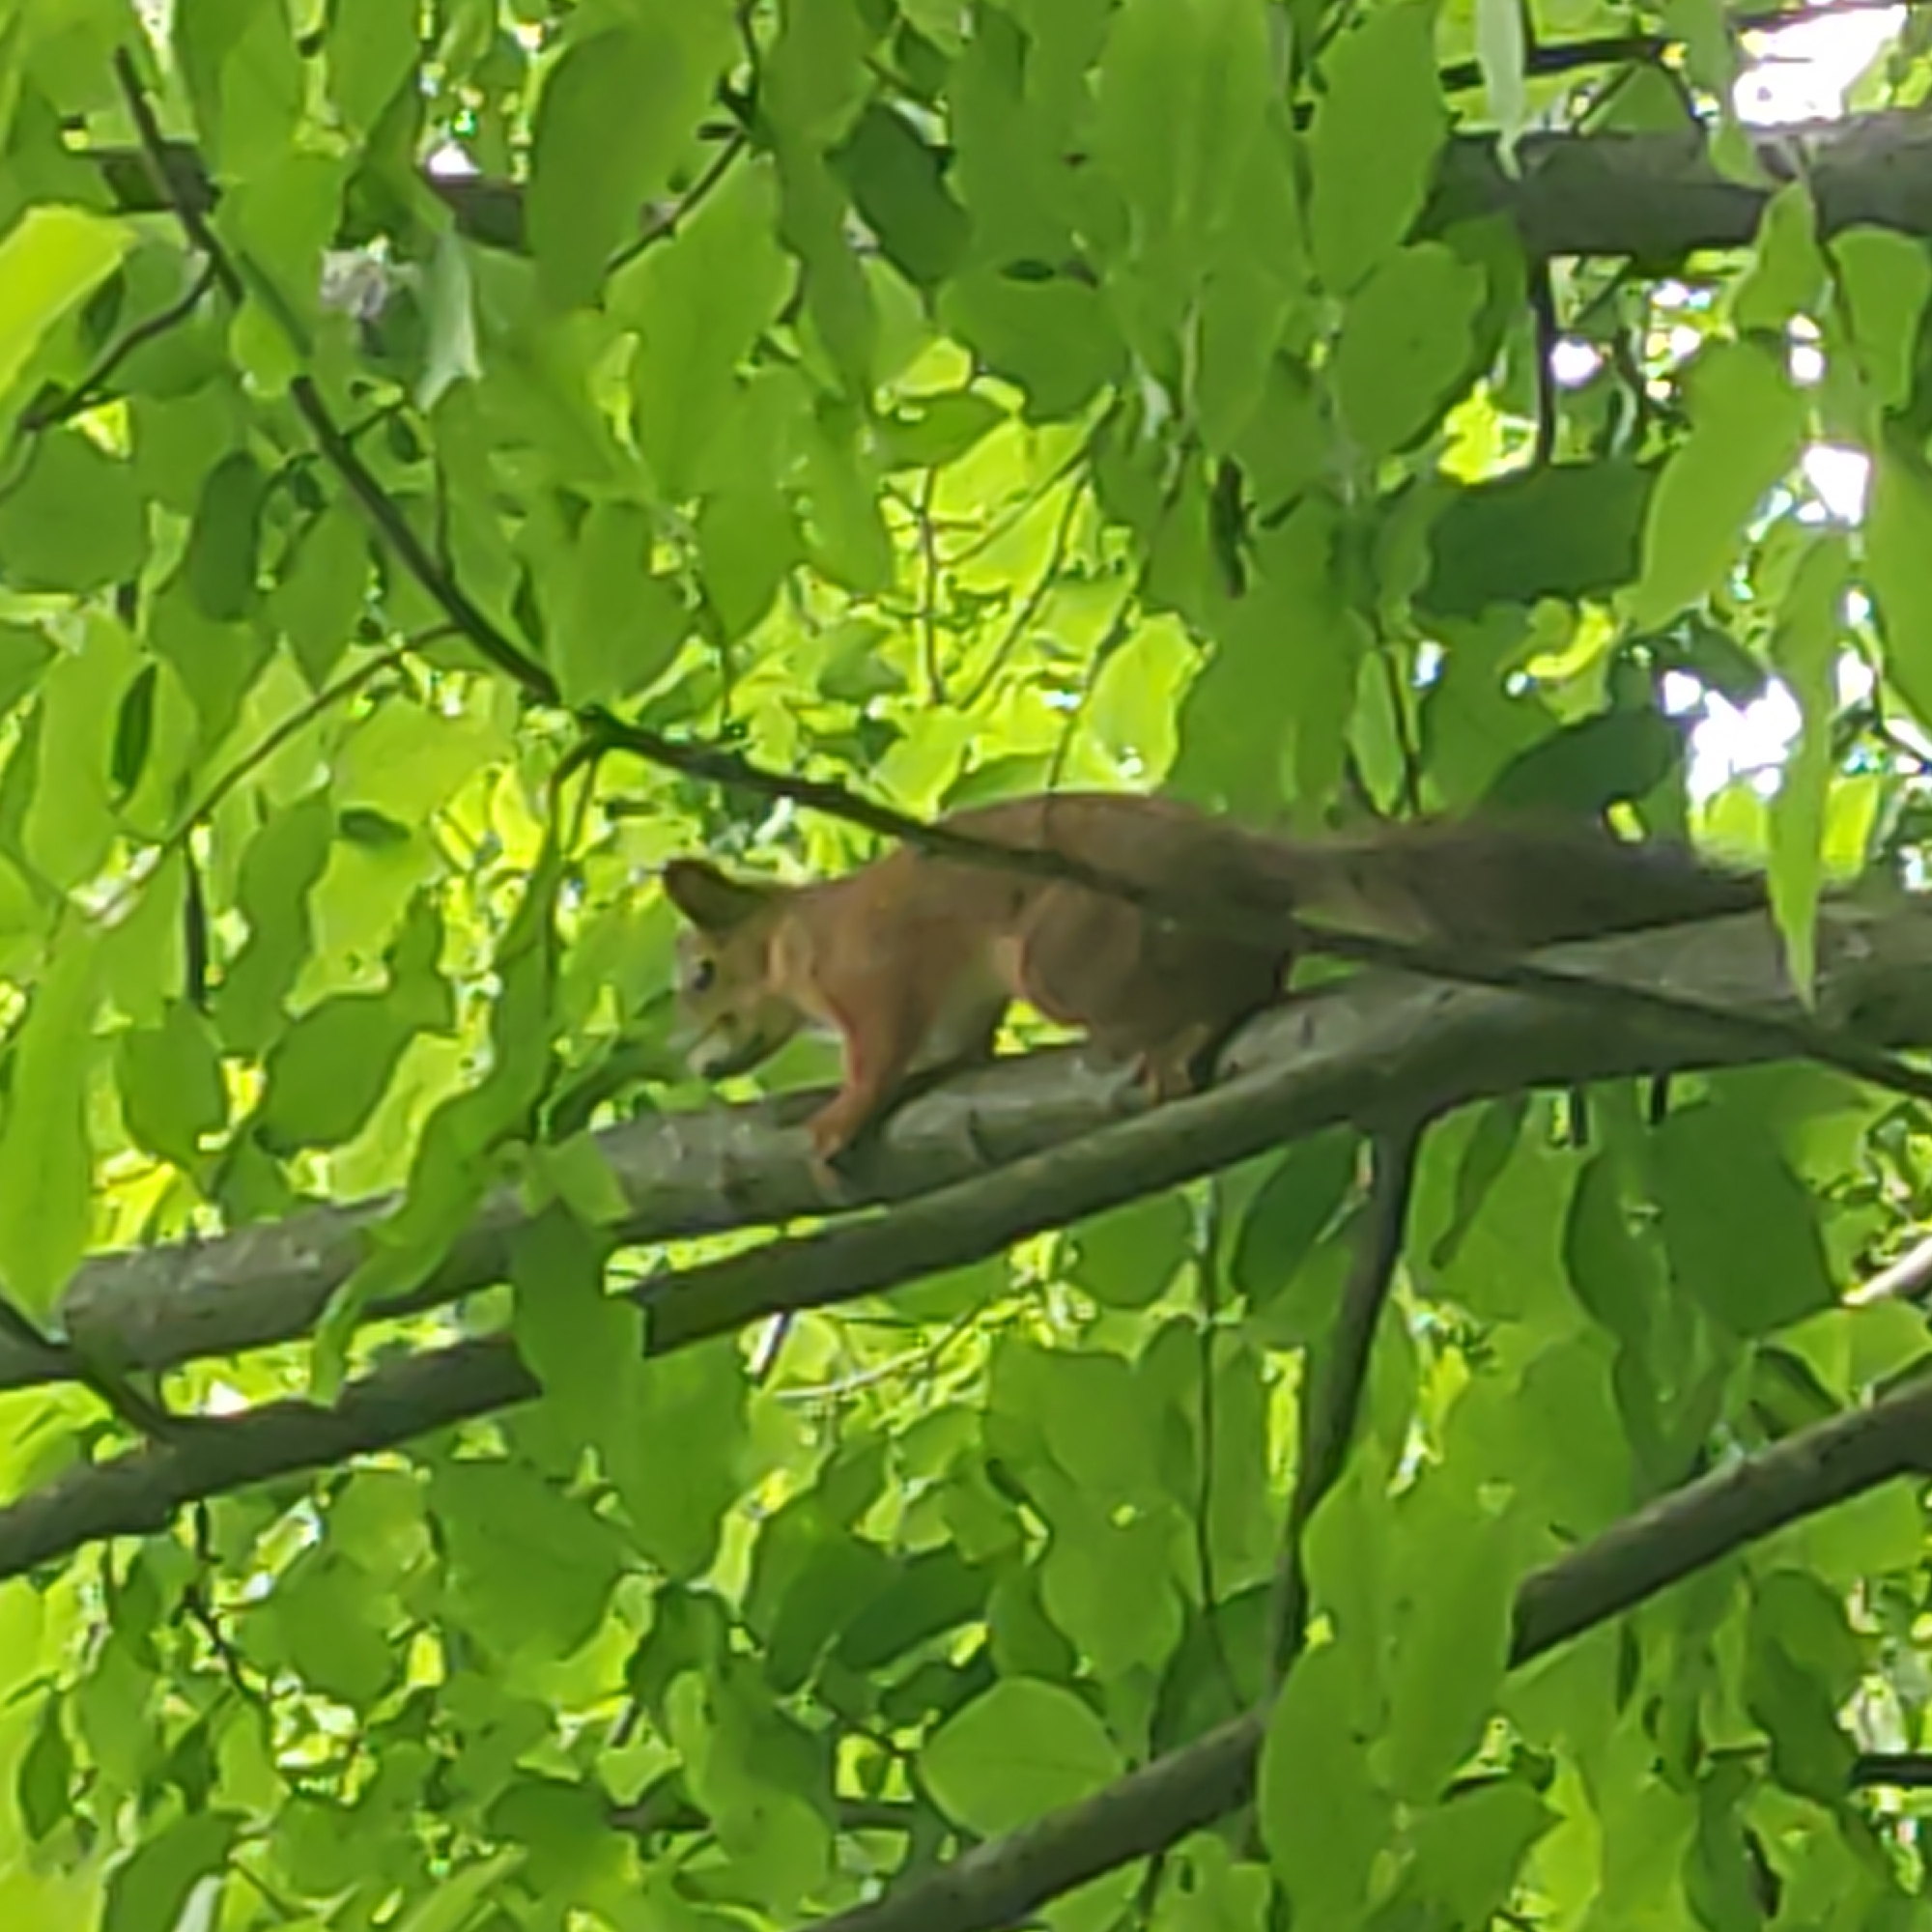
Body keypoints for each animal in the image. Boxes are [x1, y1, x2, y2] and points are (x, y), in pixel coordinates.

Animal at [661, 791, 1765, 1164]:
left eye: (702, 974)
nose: (697, 1061)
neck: (794, 938)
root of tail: (1244, 862)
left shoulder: (871, 969)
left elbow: (881, 1048)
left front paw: (839, 1117)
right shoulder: (953, 1001)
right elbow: (951, 1045)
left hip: (1066, 947)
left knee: (1236, 982)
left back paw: (1184, 1033)